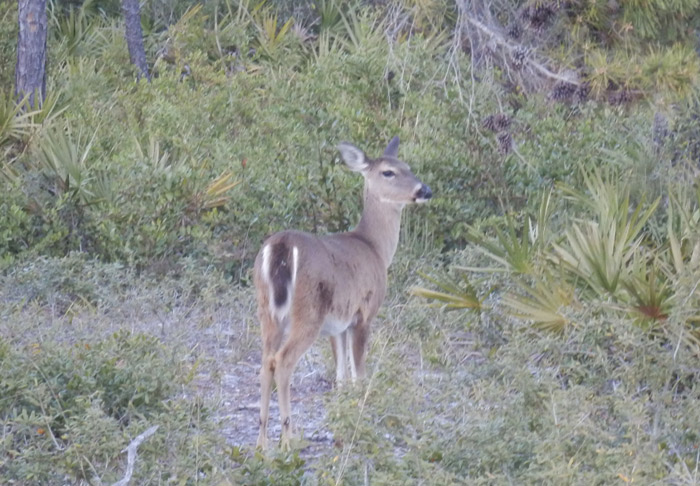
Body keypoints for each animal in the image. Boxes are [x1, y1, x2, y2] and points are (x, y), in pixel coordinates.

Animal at [254, 136, 432, 448]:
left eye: (408, 166)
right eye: (388, 172)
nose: (425, 190)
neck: (374, 247)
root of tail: (281, 247)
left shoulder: (338, 324)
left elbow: (340, 375)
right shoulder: (364, 313)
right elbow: (359, 372)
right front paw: (363, 410)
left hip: (268, 310)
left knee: (265, 362)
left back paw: (262, 443)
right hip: (308, 310)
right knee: (282, 361)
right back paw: (288, 438)